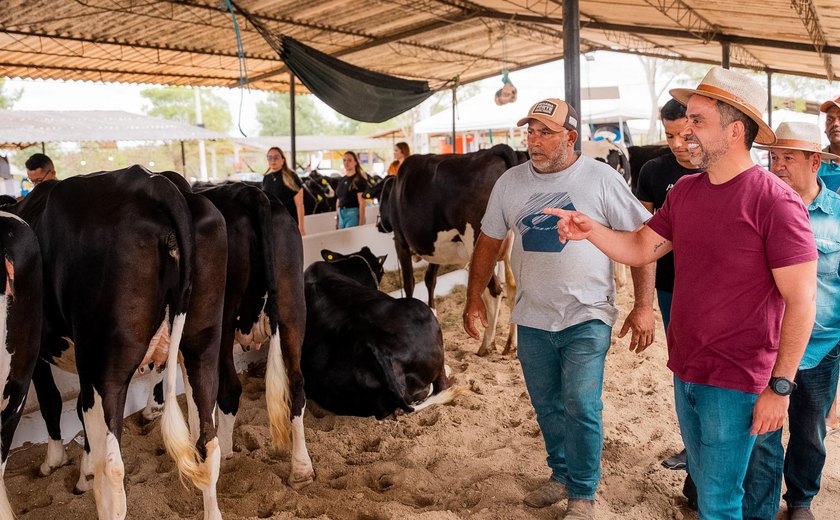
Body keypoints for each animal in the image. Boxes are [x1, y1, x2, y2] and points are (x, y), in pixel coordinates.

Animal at [15, 168, 223, 520]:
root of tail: (155, 182)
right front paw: (81, 473)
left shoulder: (39, 355)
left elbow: (51, 401)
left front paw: (52, 463)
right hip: (201, 347)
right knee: (206, 443)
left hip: (104, 368)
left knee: (112, 471)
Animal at [378, 145, 528, 358]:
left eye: (379, 198)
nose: (378, 225)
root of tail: (496, 150)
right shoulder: (436, 251)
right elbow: (430, 280)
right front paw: (432, 312)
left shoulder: (401, 242)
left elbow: (409, 283)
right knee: (514, 289)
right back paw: (510, 345)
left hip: (478, 242)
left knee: (494, 291)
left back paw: (486, 345)